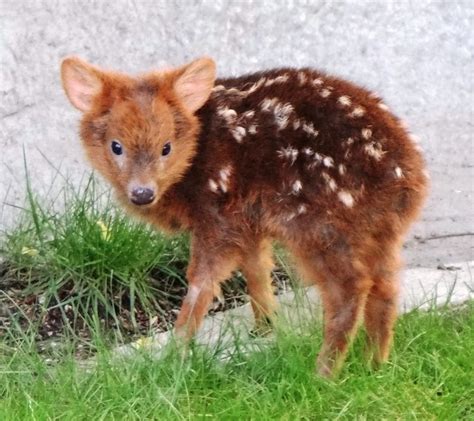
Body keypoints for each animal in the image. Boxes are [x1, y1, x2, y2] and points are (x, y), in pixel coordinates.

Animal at [61, 56, 428, 378]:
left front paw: (175, 351)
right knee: (386, 286)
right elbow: (256, 266)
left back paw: (323, 373)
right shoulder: (248, 218)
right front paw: (266, 327)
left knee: (350, 287)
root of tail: (408, 176)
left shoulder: (217, 214)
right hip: (378, 230)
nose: (142, 193)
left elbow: (203, 280)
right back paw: (374, 365)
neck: (196, 152)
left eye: (166, 147)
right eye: (116, 146)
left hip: (317, 222)